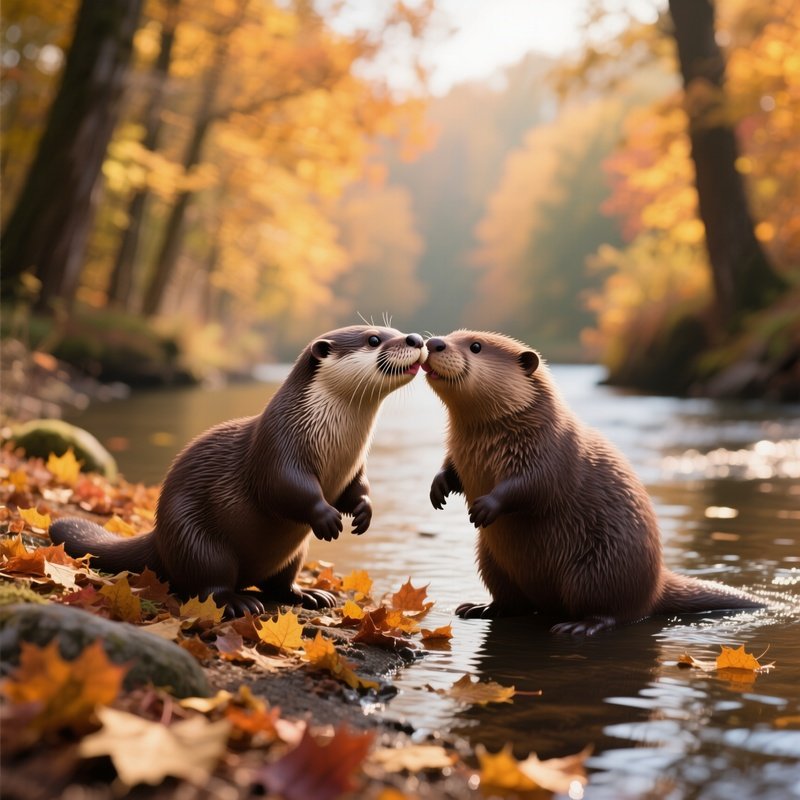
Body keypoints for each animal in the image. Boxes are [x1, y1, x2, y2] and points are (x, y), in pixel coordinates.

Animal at [50, 325, 426, 617]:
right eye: (374, 339)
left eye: (395, 330)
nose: (416, 338)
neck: (333, 440)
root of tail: (158, 537)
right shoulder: (277, 448)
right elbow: (286, 489)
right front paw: (326, 517)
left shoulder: (355, 467)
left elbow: (357, 488)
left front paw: (364, 511)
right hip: (195, 539)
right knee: (207, 584)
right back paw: (238, 603)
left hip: (294, 554)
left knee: (278, 583)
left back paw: (309, 595)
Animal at [424, 329, 762, 635]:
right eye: (451, 333)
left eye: (476, 346)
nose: (433, 343)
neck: (492, 440)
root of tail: (657, 584)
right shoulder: (459, 452)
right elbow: (451, 470)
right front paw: (438, 489)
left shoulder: (552, 449)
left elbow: (534, 485)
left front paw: (485, 506)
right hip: (492, 563)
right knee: (514, 602)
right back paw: (479, 608)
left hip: (598, 569)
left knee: (613, 612)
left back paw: (578, 626)